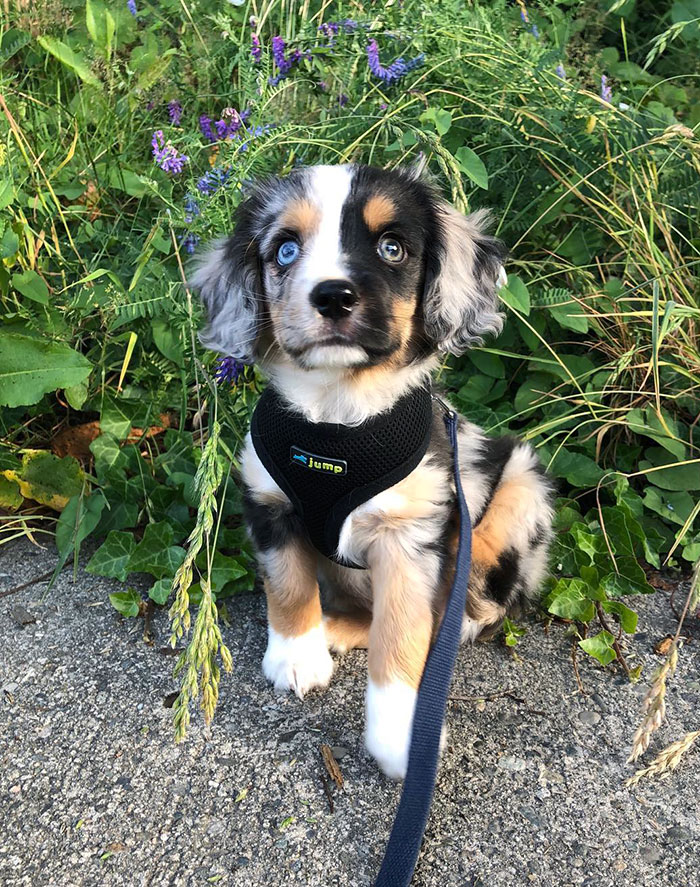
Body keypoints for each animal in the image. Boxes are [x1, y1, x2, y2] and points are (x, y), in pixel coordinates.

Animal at [192, 164, 554, 779]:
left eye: (392, 248)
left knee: (474, 611)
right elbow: (288, 585)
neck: (337, 422)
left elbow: (402, 631)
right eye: (285, 249)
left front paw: (402, 735)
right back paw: (330, 629)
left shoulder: (410, 535)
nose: (332, 295)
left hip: (517, 492)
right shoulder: (270, 503)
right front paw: (297, 654)